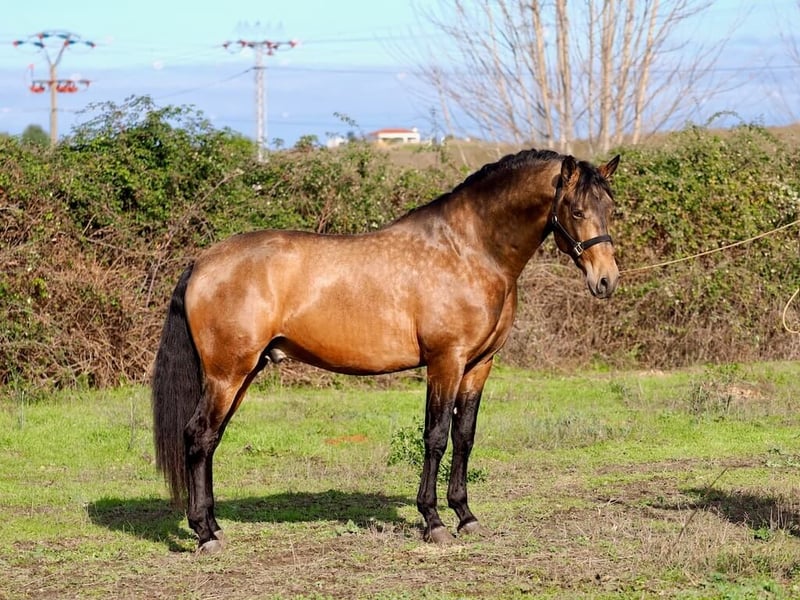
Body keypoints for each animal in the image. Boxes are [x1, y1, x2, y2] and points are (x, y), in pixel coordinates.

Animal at [151, 148, 621, 553]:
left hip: (243, 373)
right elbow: (436, 437)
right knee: (198, 437)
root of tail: (203, 263)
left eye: (610, 209)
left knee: (211, 440)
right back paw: (203, 534)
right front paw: (433, 522)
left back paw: (214, 527)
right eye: (576, 211)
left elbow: (464, 437)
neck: (469, 250)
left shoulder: (479, 365)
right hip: (227, 374)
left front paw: (466, 515)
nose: (606, 281)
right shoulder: (446, 361)